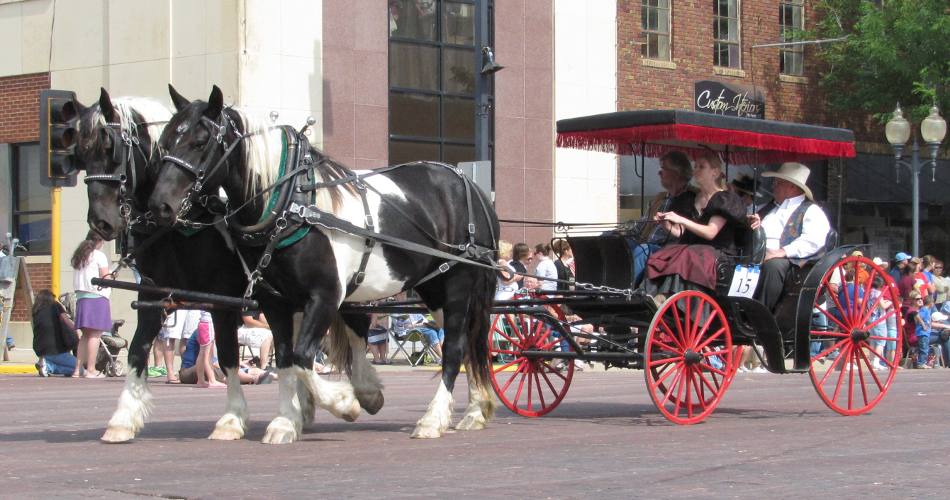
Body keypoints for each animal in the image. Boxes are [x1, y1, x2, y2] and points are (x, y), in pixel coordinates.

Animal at [147, 86, 498, 442]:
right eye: (165, 141)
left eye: (200, 141)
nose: (159, 205)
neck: (293, 203)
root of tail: (470, 186)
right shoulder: (276, 302)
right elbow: (286, 359)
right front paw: (287, 420)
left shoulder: (325, 296)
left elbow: (303, 356)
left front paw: (347, 402)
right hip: (434, 288)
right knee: (467, 342)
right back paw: (474, 411)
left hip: (458, 284)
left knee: (454, 347)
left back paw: (434, 418)